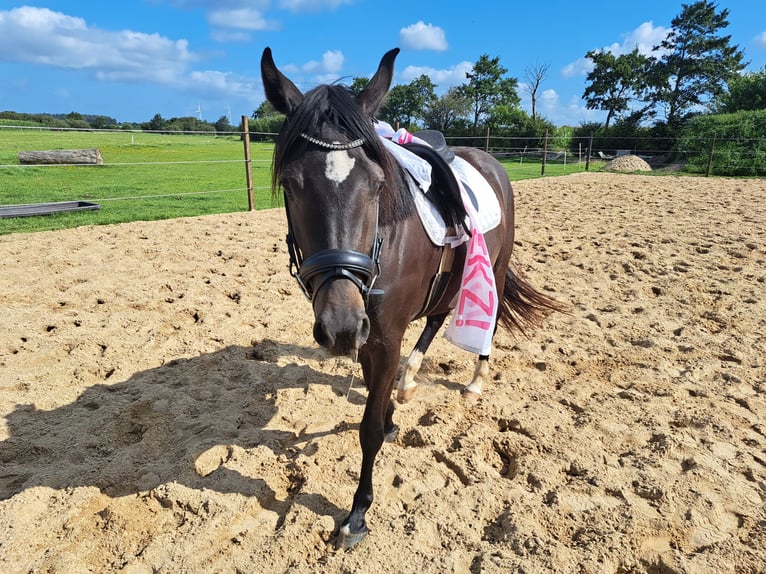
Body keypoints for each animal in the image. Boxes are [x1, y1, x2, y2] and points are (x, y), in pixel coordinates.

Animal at [260, 47, 560, 552]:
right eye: (291, 185)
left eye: (377, 185)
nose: (339, 324)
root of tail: (490, 160)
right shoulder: (370, 335)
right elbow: (375, 398)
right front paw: (391, 410)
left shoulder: (384, 336)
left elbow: (368, 431)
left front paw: (357, 513)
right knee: (436, 318)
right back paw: (410, 376)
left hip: (495, 268)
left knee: (487, 319)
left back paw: (475, 381)